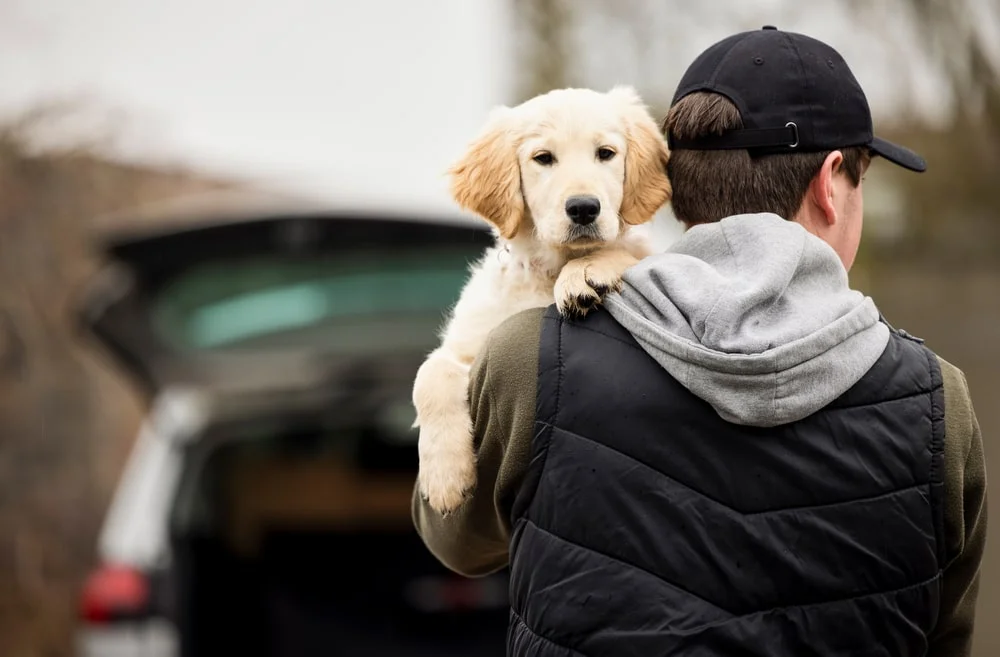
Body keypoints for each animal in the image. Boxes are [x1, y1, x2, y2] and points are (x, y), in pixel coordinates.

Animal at [410, 84, 676, 512]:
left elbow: (627, 252)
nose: (584, 208)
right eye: (543, 158)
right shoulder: (469, 343)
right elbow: (429, 374)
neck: (549, 268)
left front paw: (585, 273)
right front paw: (445, 477)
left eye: (605, 153)